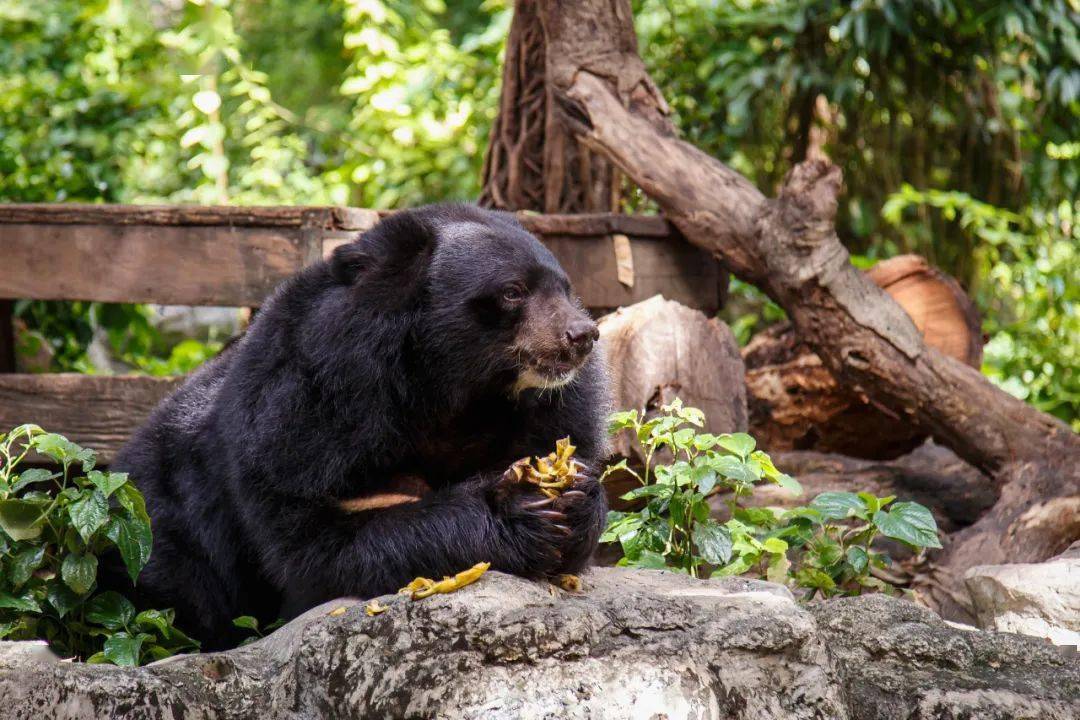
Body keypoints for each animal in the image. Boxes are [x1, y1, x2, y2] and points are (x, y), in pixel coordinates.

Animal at [116, 202, 617, 647]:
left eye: (564, 288)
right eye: (513, 290)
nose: (582, 335)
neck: (457, 389)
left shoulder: (551, 411)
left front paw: (576, 499)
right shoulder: (310, 419)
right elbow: (323, 542)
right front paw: (519, 507)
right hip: (160, 524)